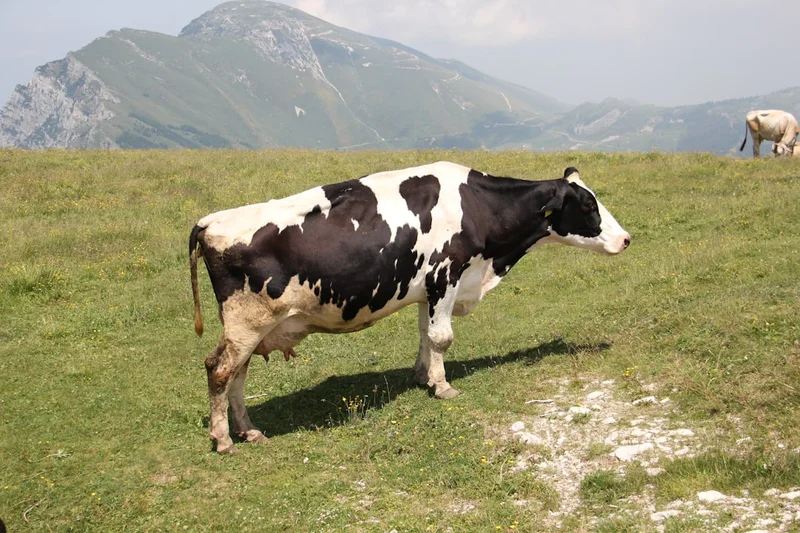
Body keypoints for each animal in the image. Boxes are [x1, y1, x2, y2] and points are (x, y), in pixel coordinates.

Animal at [189, 161, 631, 454]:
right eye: (588, 206)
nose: (626, 239)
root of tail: (209, 221)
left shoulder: (429, 288)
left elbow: (425, 334)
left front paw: (423, 376)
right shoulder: (447, 274)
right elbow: (442, 336)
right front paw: (443, 386)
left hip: (251, 327)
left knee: (237, 374)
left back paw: (248, 431)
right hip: (247, 321)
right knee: (219, 369)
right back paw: (224, 439)